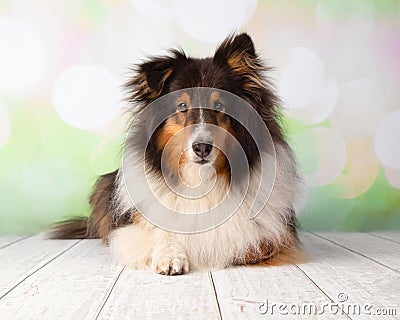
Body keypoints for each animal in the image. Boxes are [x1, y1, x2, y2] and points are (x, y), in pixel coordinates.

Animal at [51, 34, 304, 276]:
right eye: (182, 106)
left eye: (220, 106)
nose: (202, 148)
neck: (200, 178)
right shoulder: (133, 225)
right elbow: (162, 231)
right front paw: (170, 258)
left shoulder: (276, 233)